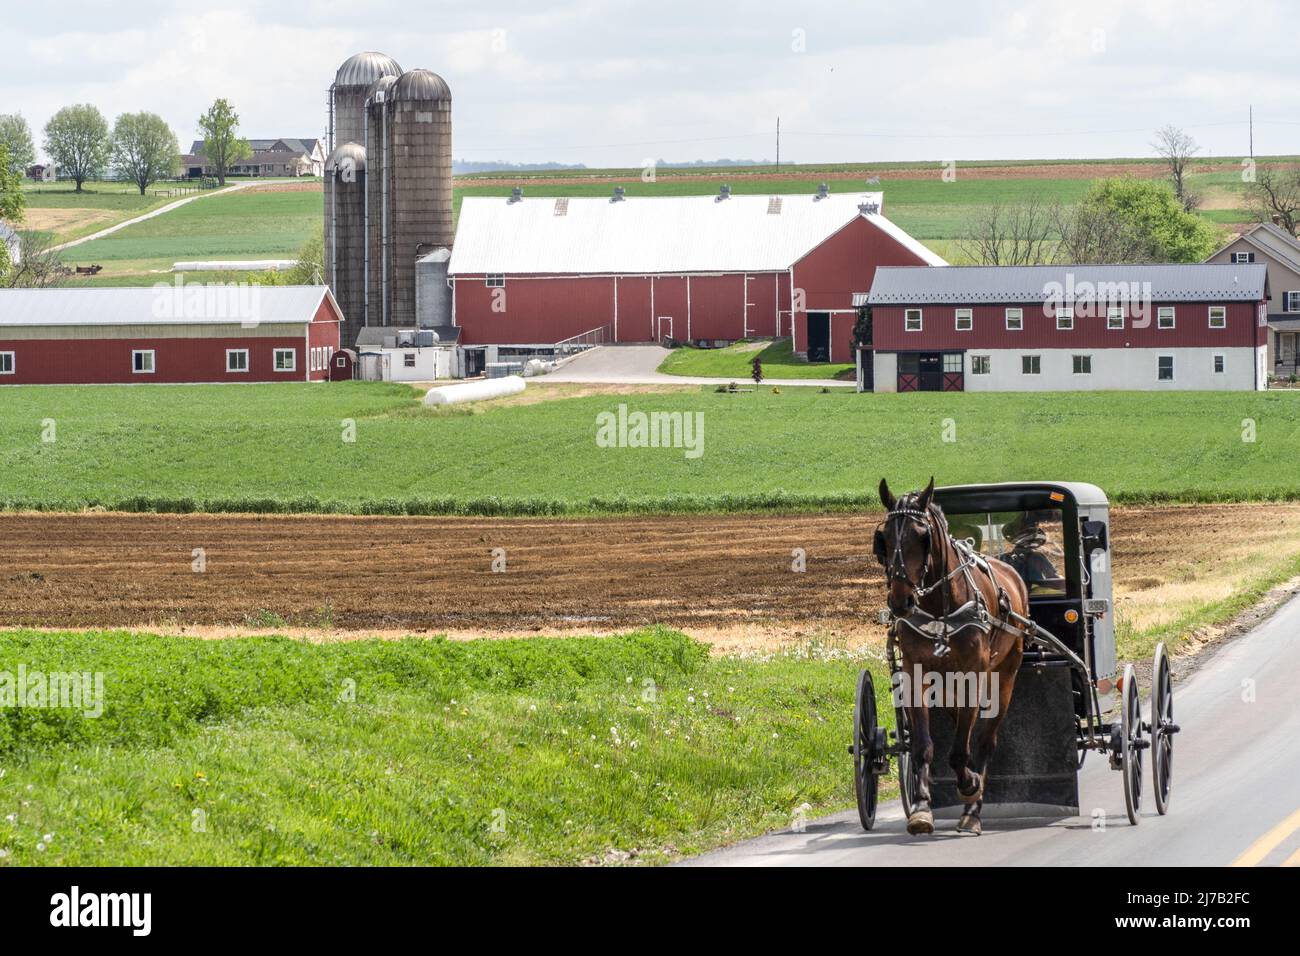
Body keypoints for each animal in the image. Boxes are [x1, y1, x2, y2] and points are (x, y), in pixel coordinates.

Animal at [878, 478, 1029, 837]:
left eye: (922, 536)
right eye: (884, 538)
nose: (900, 601)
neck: (939, 610)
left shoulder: (975, 674)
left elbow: (961, 749)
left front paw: (970, 785)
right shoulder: (916, 674)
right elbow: (922, 746)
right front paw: (920, 809)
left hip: (1005, 674)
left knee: (986, 739)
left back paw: (973, 809)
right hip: (947, 684)